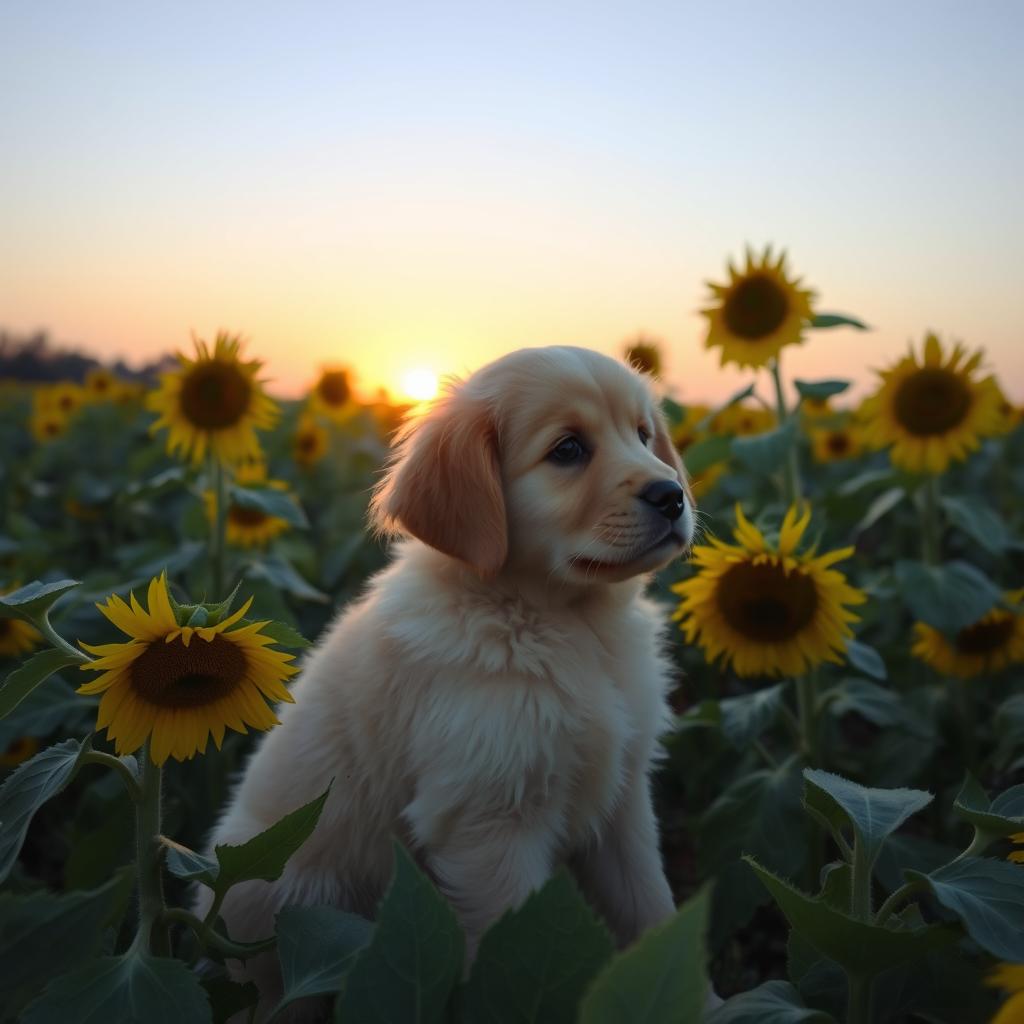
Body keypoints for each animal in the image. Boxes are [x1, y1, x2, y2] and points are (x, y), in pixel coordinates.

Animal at [199, 346, 696, 1015]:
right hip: (281, 902)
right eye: (567, 449)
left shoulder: (624, 802)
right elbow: (505, 957)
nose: (673, 495)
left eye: (643, 435)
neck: (566, 624)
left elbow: (651, 908)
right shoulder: (489, 825)